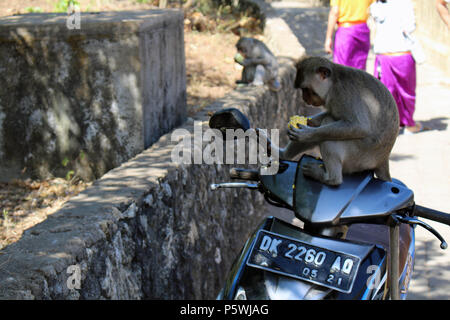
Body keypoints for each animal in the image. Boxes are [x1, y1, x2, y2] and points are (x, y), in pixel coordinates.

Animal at [262, 57, 400, 186]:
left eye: (306, 89)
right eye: (303, 90)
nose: (304, 98)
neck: (333, 84)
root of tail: (383, 159)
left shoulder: (343, 94)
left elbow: (360, 126)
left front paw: (307, 134)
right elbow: (330, 115)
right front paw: (309, 122)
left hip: (358, 158)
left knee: (327, 129)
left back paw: (331, 179)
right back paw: (282, 154)